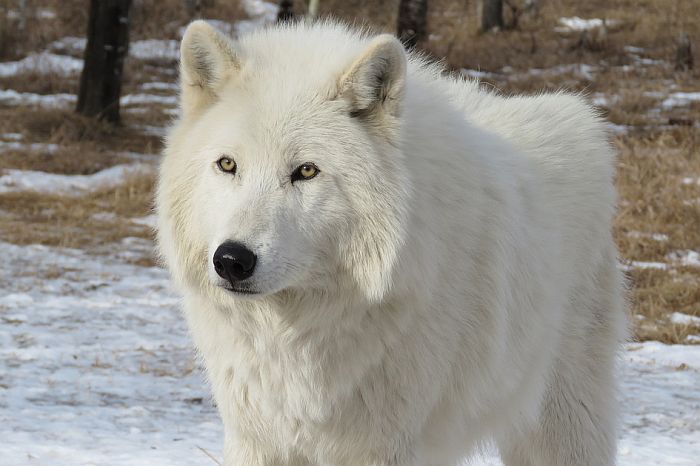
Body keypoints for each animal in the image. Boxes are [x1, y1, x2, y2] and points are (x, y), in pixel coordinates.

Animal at [159, 19, 628, 466]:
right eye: (227, 165)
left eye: (306, 171)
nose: (232, 260)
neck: (298, 335)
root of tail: (579, 116)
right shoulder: (257, 438)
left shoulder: (382, 445)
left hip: (562, 423)